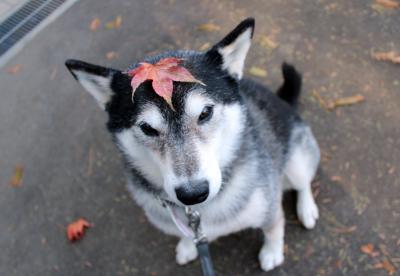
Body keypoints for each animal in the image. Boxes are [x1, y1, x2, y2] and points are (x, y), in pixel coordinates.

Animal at [67, 17, 320, 272]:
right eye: (147, 128)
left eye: (205, 112)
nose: (193, 194)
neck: (200, 211)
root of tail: (284, 102)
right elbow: (187, 235)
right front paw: (188, 246)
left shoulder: (268, 205)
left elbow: (273, 226)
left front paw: (272, 251)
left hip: (296, 160)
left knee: (303, 182)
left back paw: (306, 208)